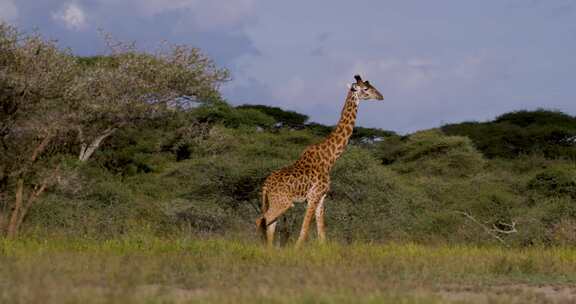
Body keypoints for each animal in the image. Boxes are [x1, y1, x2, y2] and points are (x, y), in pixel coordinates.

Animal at [255, 75, 382, 246]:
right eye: (366, 88)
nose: (381, 96)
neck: (330, 158)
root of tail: (266, 185)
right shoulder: (313, 196)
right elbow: (304, 231)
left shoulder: (322, 197)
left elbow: (322, 233)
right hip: (282, 202)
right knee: (261, 220)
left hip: (274, 202)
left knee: (269, 225)